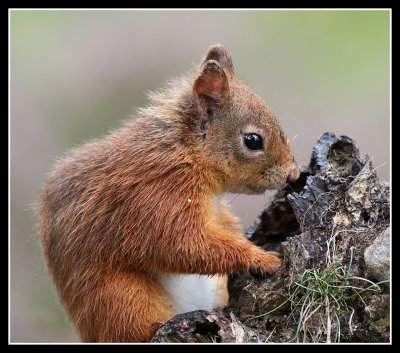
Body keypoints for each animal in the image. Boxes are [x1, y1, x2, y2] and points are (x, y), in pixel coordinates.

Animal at [36, 44, 300, 340]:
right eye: (253, 140)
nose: (293, 174)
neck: (185, 151)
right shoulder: (156, 196)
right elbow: (184, 243)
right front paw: (263, 258)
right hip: (122, 296)